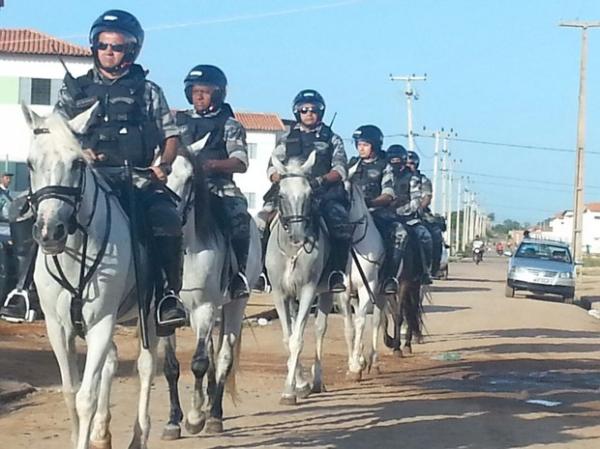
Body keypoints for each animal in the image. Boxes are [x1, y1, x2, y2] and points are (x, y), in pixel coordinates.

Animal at [21, 102, 157, 448]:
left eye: (78, 163)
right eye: (30, 163)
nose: (50, 232)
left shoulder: (101, 322)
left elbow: (86, 397)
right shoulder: (58, 328)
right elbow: (71, 392)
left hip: (150, 313)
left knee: (146, 365)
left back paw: (139, 436)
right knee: (112, 363)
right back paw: (102, 433)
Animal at [161, 150, 262, 438]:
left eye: (190, 178)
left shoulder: (204, 307)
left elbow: (198, 363)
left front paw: (195, 418)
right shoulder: (163, 314)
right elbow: (171, 367)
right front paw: (173, 421)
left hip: (235, 304)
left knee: (223, 357)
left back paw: (214, 414)